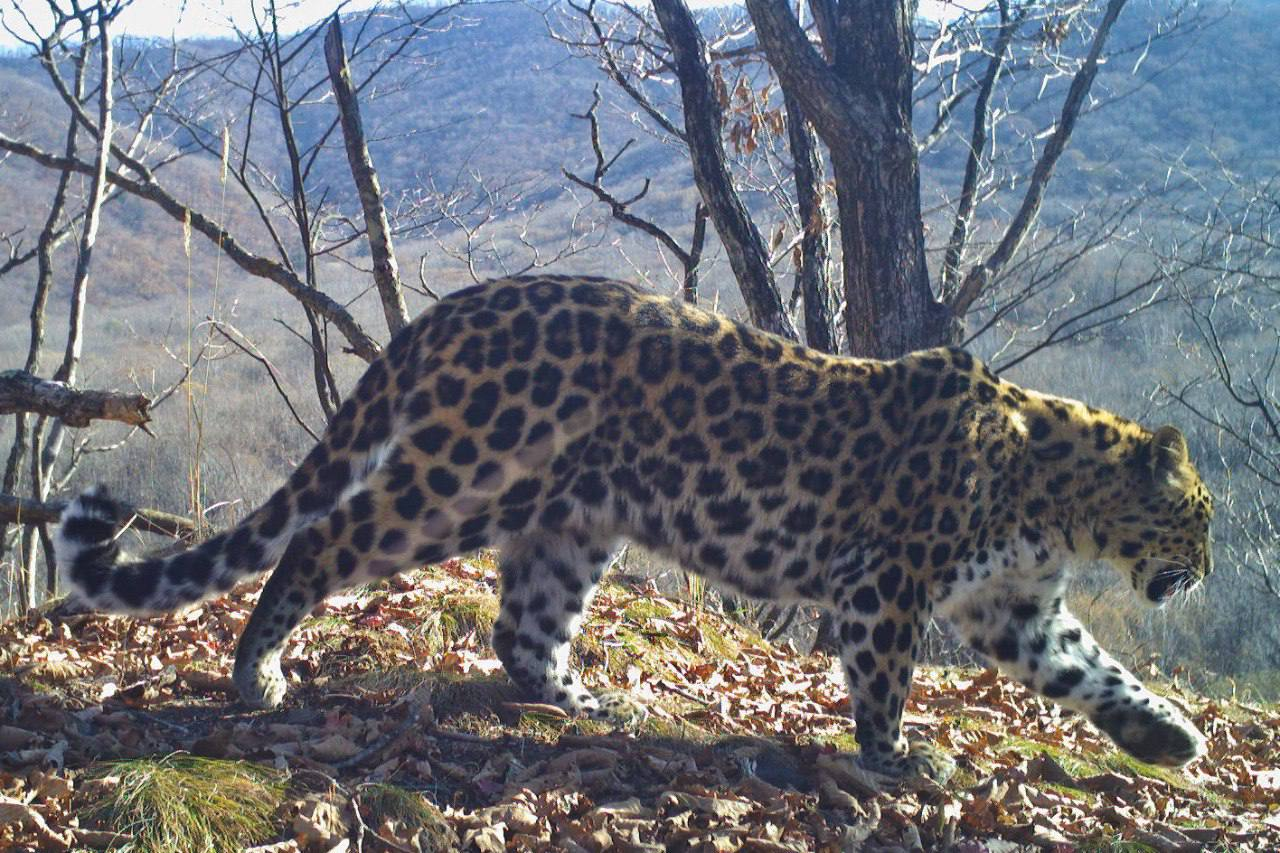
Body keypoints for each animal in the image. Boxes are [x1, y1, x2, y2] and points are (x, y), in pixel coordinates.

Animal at [52, 275, 1208, 778]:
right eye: (1194, 517)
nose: (1198, 571)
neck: (1054, 501)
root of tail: (455, 304)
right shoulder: (885, 582)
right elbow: (883, 676)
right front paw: (895, 757)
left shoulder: (1014, 605)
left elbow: (1090, 668)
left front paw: (1166, 735)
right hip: (462, 475)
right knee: (319, 542)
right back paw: (256, 673)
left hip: (568, 514)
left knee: (521, 627)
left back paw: (588, 704)